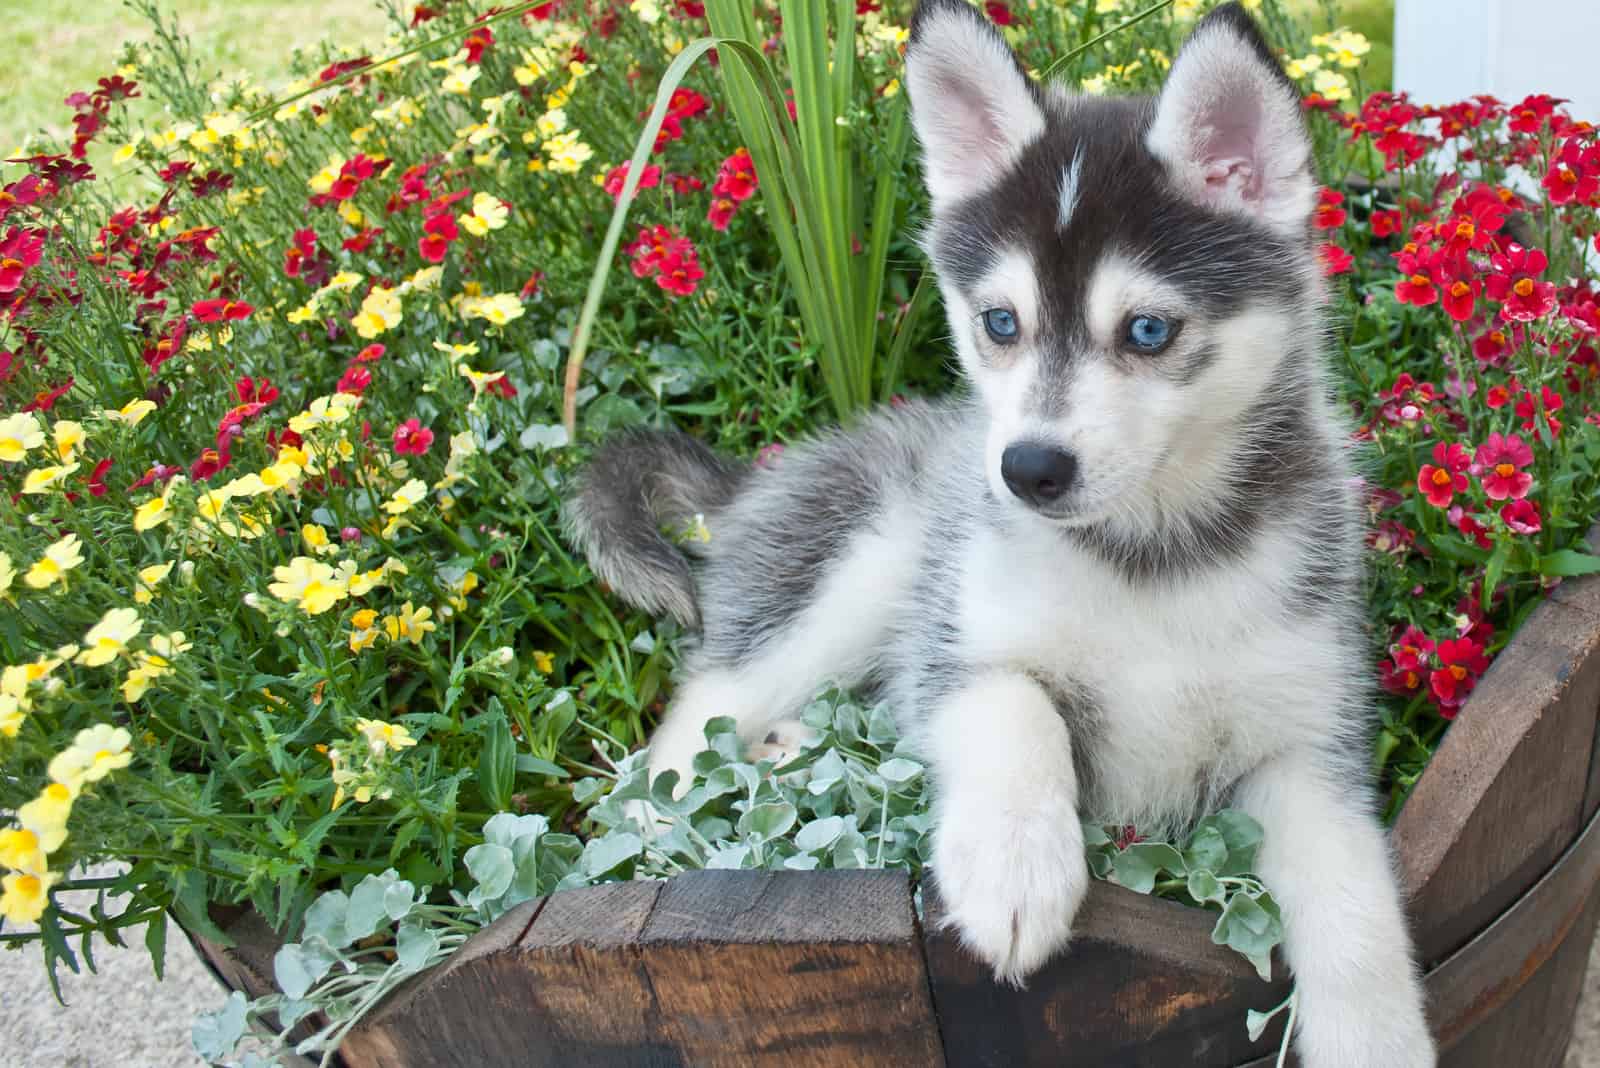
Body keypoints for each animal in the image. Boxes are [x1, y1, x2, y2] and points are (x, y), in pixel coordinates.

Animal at [566, 4, 1440, 1061]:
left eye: (1148, 332)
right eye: (999, 322)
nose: (1027, 470)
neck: (1151, 558)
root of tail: (761, 475)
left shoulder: (1307, 742)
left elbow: (1355, 907)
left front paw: (1377, 1035)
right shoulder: (956, 640)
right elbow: (1013, 703)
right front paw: (1013, 868)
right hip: (865, 563)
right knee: (698, 712)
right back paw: (661, 829)